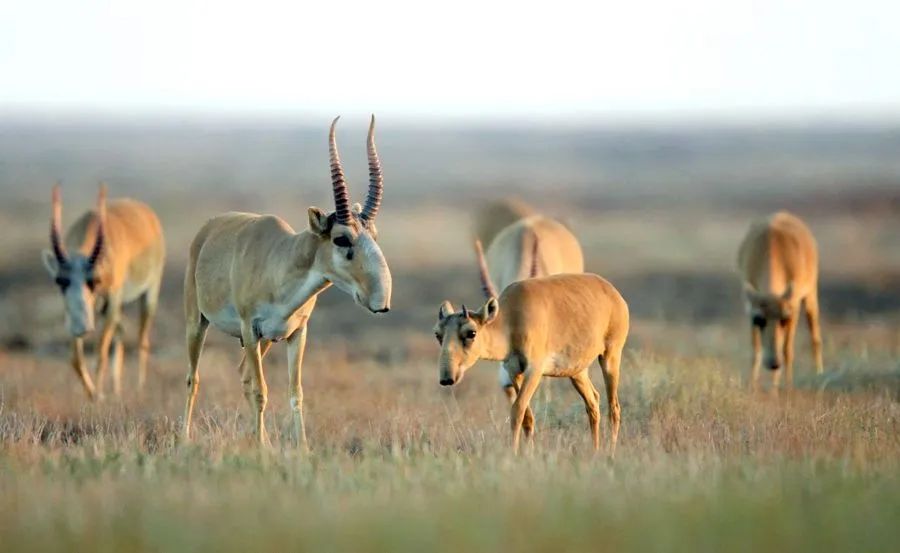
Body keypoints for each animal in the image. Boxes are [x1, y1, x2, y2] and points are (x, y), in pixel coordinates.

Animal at [42, 184, 166, 396]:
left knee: (142, 340)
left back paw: (139, 389)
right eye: (60, 281)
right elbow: (76, 360)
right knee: (122, 330)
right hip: (104, 308)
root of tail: (147, 214)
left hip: (148, 293)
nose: (82, 327)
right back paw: (117, 391)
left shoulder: (113, 300)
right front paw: (93, 395)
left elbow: (101, 354)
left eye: (94, 280)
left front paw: (99, 395)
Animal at [182, 114, 390, 446]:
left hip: (264, 340)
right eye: (341, 238)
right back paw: (183, 439)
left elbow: (295, 393)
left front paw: (299, 448)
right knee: (193, 378)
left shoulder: (296, 334)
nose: (380, 300)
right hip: (198, 323)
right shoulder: (250, 329)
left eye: (374, 234)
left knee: (243, 374)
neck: (281, 262)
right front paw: (262, 449)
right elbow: (261, 391)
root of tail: (208, 228)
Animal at [434, 264, 628, 452]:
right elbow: (527, 417)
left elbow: (517, 410)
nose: (447, 378)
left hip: (610, 357)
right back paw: (595, 451)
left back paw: (610, 452)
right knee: (593, 402)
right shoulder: (514, 372)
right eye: (438, 334)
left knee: (614, 408)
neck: (511, 319)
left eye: (471, 333)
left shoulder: (534, 371)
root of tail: (613, 293)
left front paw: (513, 453)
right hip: (577, 372)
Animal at [740, 210, 824, 388]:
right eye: (758, 319)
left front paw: (786, 386)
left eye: (785, 319)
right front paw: (752, 385)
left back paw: (819, 374)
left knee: (815, 337)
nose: (774, 363)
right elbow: (756, 350)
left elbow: (787, 349)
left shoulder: (793, 307)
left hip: (811, 295)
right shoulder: (750, 307)